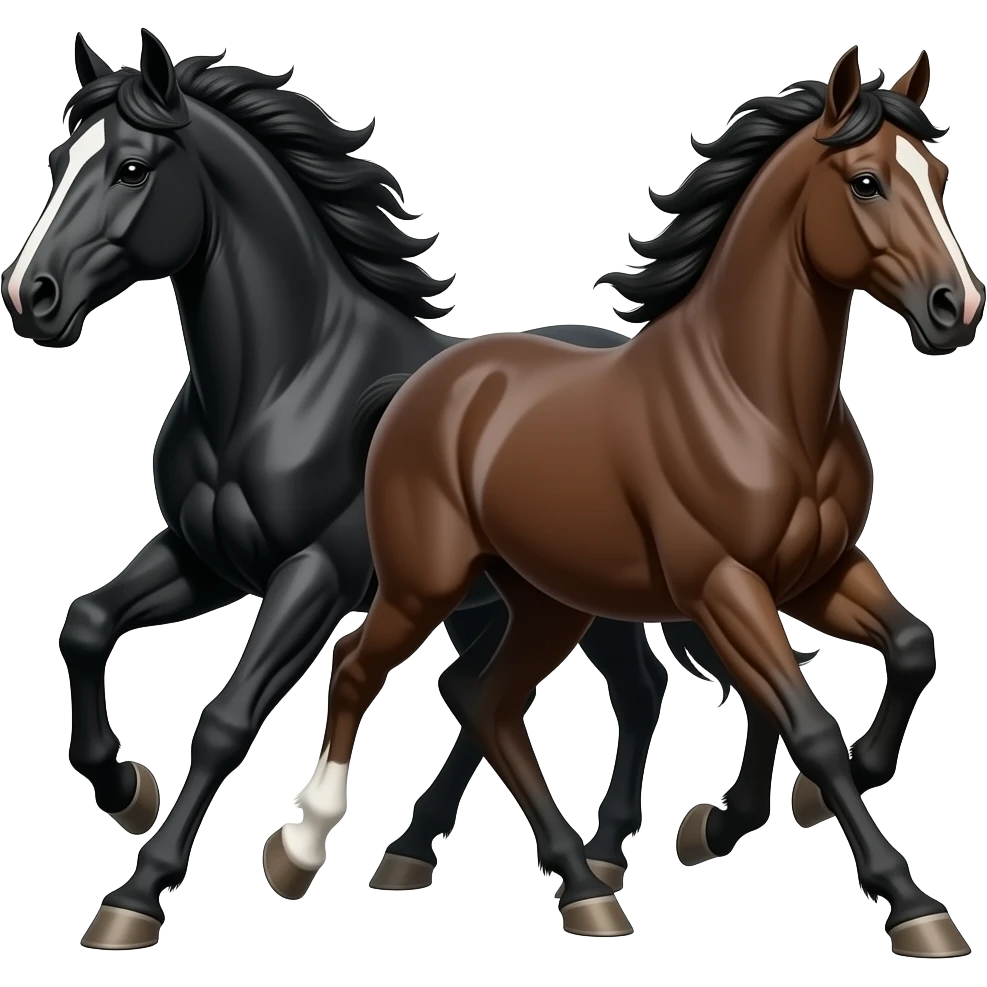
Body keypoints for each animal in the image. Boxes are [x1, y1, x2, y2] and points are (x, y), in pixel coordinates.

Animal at [0, 28, 739, 951]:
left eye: (133, 167)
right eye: (58, 158)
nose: (30, 296)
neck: (285, 380)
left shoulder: (316, 577)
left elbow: (225, 719)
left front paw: (137, 893)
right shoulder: (206, 560)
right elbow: (88, 622)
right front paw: (125, 787)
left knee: (625, 692)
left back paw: (590, 858)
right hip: (488, 605)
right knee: (499, 695)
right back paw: (438, 852)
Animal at [276, 47, 983, 955]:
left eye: (938, 173)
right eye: (865, 181)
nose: (955, 308)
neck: (755, 402)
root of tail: (418, 386)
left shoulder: (812, 574)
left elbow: (910, 647)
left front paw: (761, 810)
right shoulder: (723, 584)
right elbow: (809, 725)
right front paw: (910, 904)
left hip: (548, 602)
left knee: (487, 702)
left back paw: (585, 889)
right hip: (424, 584)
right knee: (357, 664)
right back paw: (299, 849)